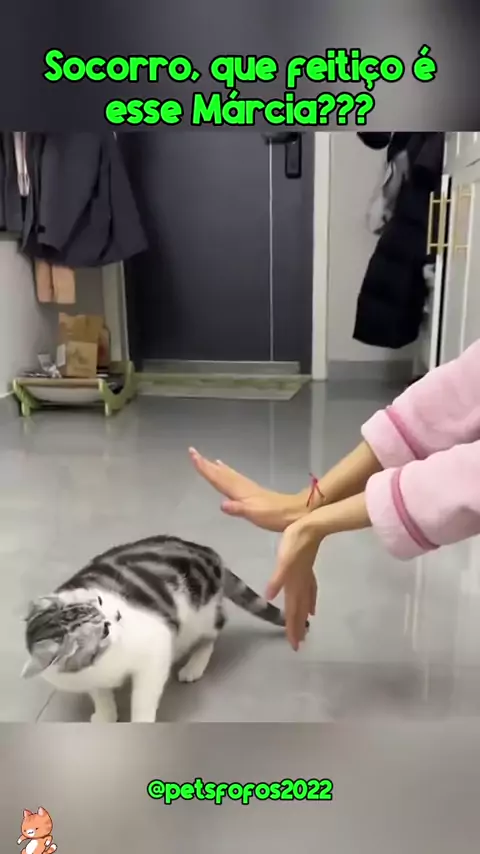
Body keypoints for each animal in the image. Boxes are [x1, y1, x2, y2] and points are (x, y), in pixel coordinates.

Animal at [22, 535, 302, 722]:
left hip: (199, 614)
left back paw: (194, 665)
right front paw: (105, 715)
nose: (118, 614)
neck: (103, 664)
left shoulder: (155, 648)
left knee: (214, 630)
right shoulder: (89, 676)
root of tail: (209, 553)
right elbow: (100, 694)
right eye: (103, 631)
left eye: (99, 601)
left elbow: (143, 698)